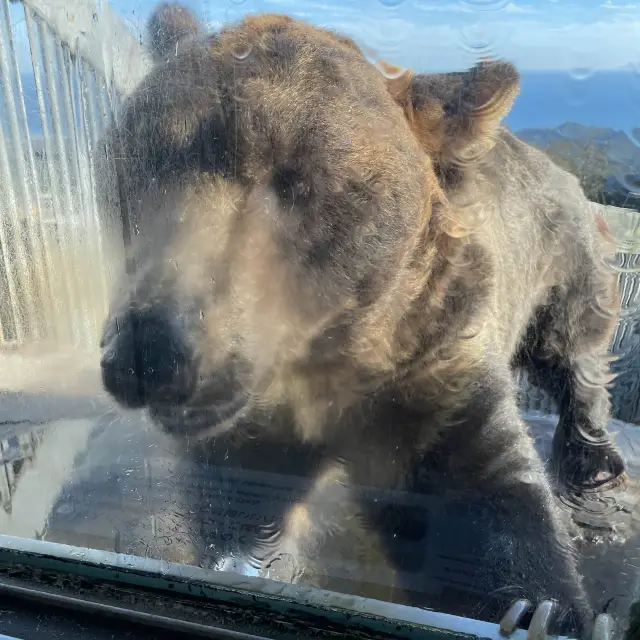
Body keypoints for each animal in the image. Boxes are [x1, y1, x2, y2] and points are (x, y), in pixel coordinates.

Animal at [99, 3, 624, 636]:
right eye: (136, 162)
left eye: (298, 180)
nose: (148, 353)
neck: (327, 354)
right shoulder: (251, 423)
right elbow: (236, 504)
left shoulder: (429, 365)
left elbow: (485, 492)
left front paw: (542, 609)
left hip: (564, 254)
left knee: (574, 346)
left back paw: (592, 457)